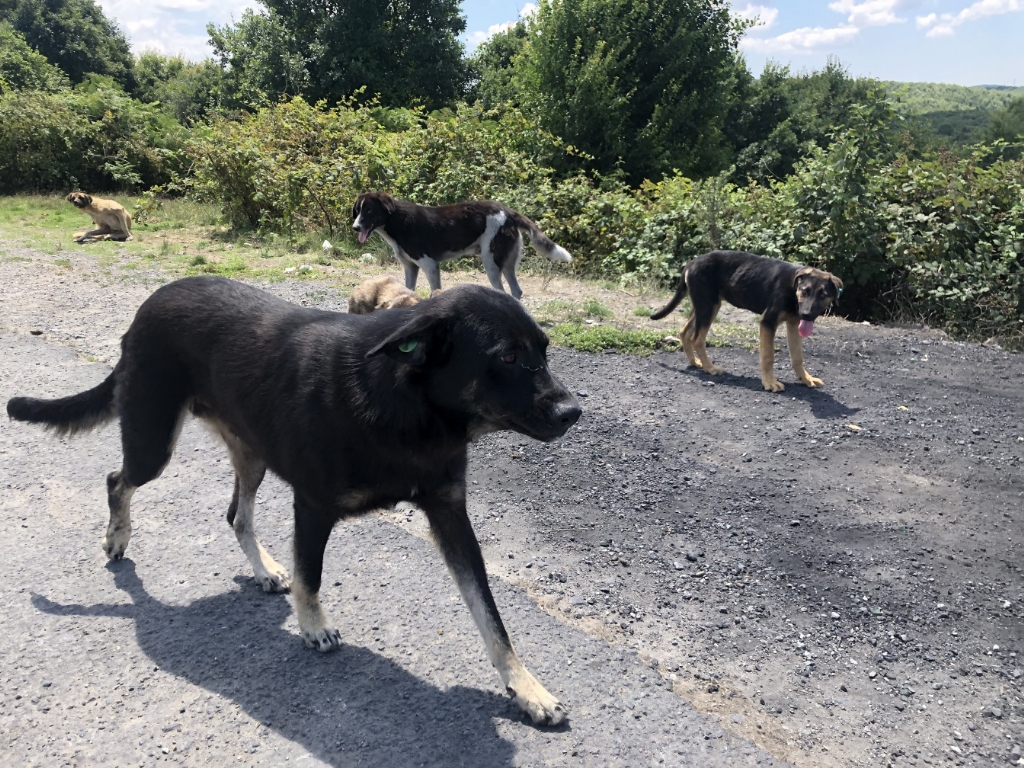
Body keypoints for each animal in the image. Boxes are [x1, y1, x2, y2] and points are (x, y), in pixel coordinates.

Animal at [6, 278, 585, 729]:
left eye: (544, 350)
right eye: (506, 356)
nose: (573, 412)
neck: (407, 403)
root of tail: (151, 301)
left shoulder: (450, 515)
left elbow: (491, 617)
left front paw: (527, 689)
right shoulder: (312, 505)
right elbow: (312, 574)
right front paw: (312, 626)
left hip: (250, 452)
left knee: (236, 513)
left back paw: (262, 570)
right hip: (154, 440)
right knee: (117, 479)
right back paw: (117, 536)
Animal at [352, 190, 577, 301]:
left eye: (369, 211)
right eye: (358, 210)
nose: (355, 227)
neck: (397, 221)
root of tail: (509, 212)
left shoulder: (430, 266)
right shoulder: (410, 268)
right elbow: (407, 290)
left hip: (491, 263)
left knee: (503, 291)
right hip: (506, 264)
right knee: (517, 291)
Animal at [651, 252, 843, 393]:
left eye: (823, 295)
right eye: (805, 291)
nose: (806, 314)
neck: (792, 287)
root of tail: (692, 262)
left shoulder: (794, 324)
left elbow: (798, 357)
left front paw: (806, 379)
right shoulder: (768, 322)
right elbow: (768, 357)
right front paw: (770, 382)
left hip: (705, 306)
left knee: (685, 332)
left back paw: (695, 362)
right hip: (708, 306)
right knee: (697, 338)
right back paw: (710, 368)